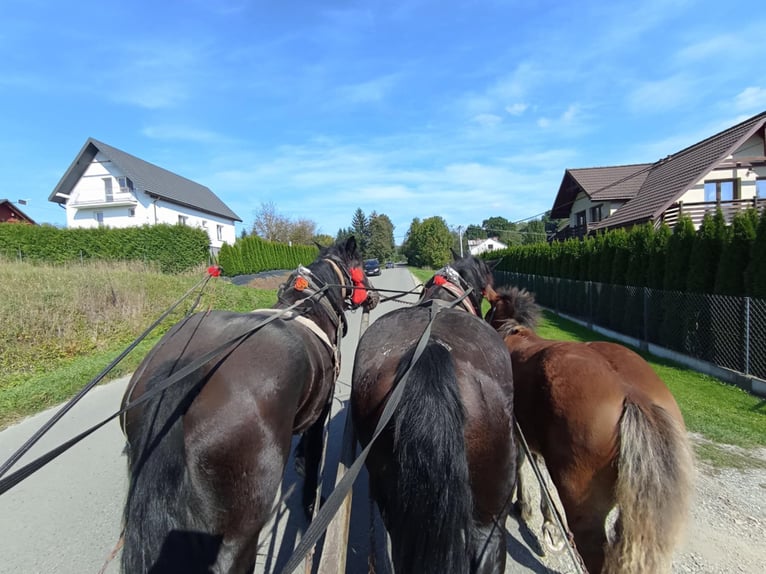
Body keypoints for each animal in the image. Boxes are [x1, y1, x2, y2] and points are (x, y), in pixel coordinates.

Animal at [118, 237, 380, 574]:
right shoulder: (319, 411)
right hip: (243, 521)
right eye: (359, 265)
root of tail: (186, 371)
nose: (374, 295)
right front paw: (311, 502)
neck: (309, 308)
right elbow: (312, 459)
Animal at [488, 288, 700, 574]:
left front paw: (525, 506)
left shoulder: (518, 429)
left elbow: (523, 462)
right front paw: (546, 519)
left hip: (583, 504)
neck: (514, 333)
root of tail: (634, 397)